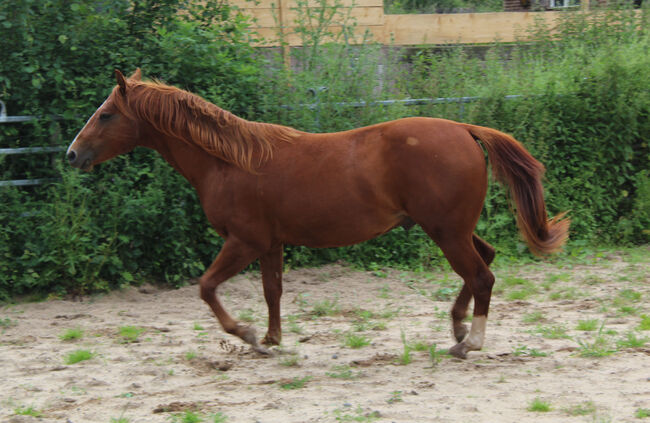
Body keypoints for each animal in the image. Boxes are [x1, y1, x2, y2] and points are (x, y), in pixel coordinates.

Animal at [64, 68, 568, 358]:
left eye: (106, 114)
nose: (72, 155)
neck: (229, 161)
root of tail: (464, 128)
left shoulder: (243, 241)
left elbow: (206, 287)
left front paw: (245, 334)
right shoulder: (270, 244)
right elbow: (272, 291)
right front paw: (271, 339)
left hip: (446, 231)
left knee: (482, 275)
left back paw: (472, 342)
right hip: (451, 229)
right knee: (486, 260)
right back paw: (459, 328)